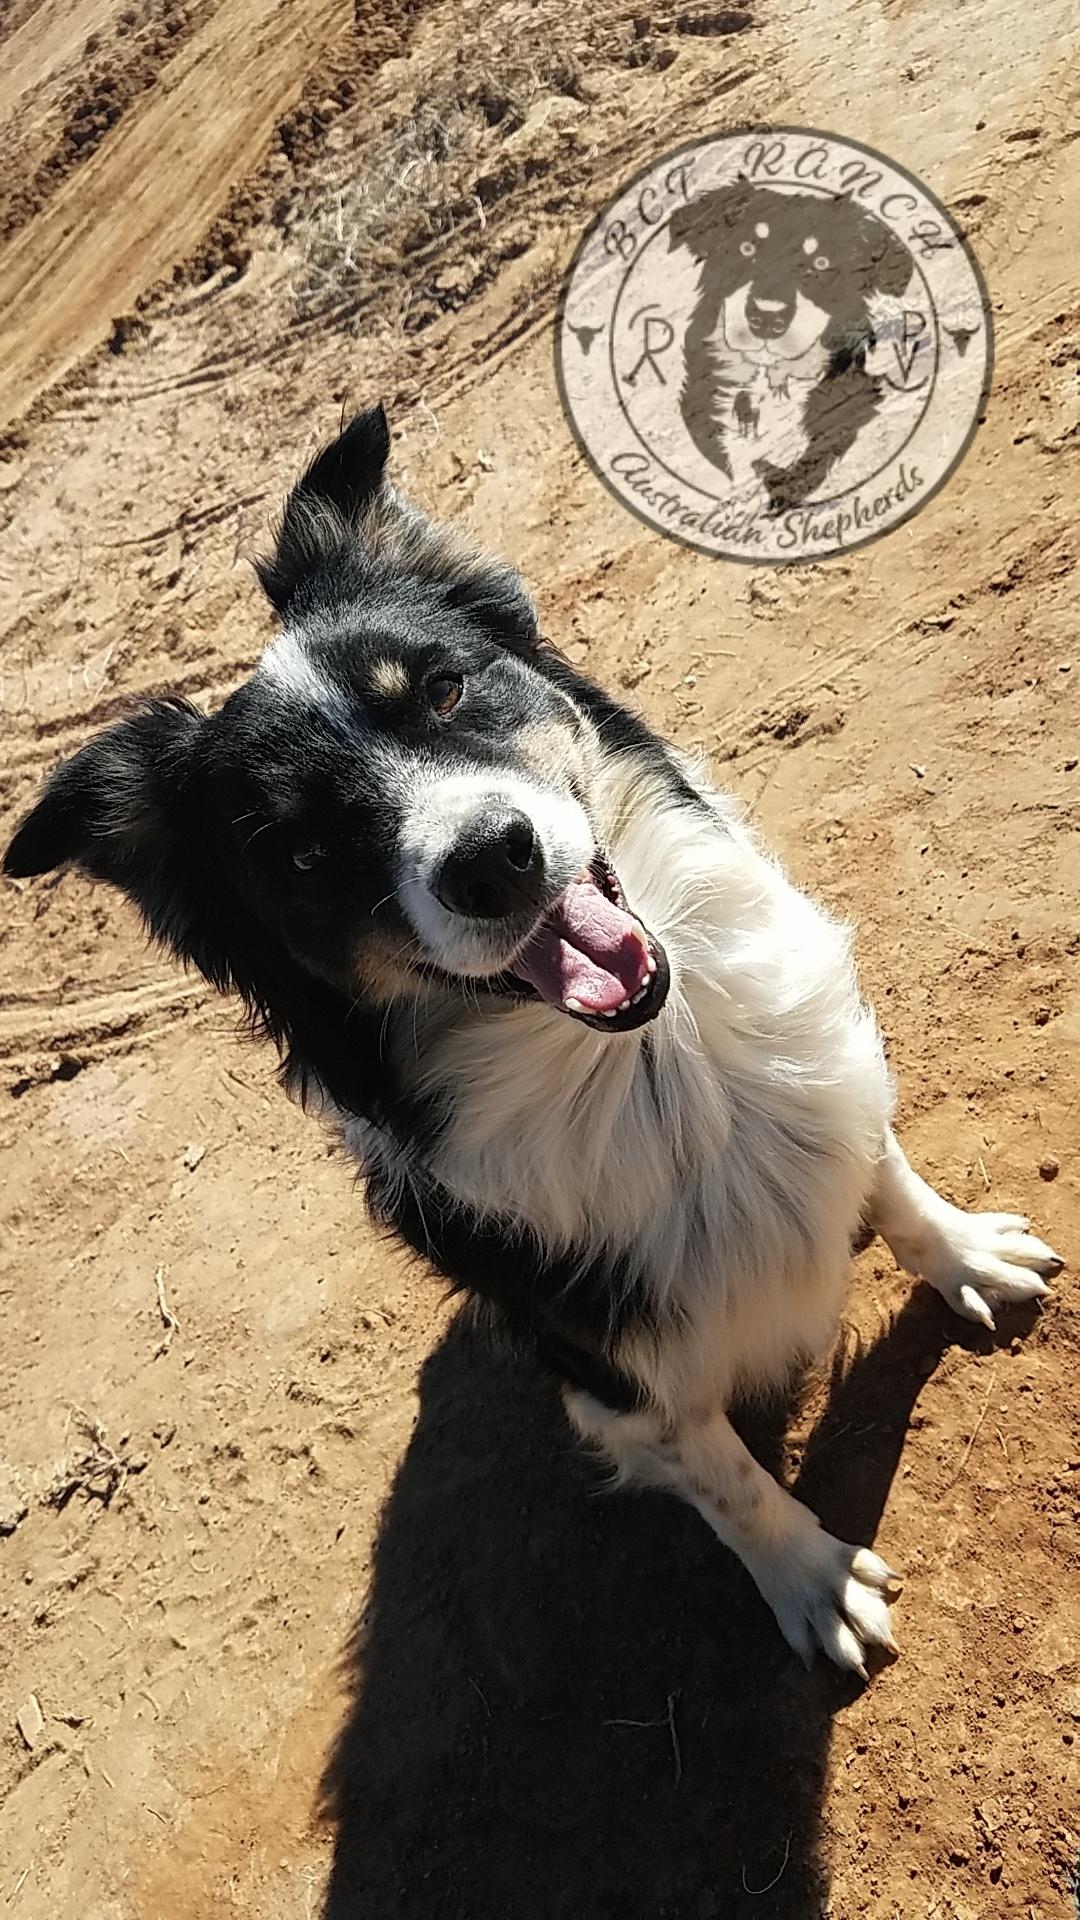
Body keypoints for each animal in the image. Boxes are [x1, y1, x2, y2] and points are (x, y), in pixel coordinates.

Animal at [5, 406, 1061, 1674]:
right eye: (305, 853)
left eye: (446, 690)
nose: (491, 862)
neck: (654, 1071)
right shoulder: (607, 1360)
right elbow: (721, 1473)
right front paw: (809, 1577)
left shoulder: (826, 1075)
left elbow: (885, 1170)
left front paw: (963, 1253)